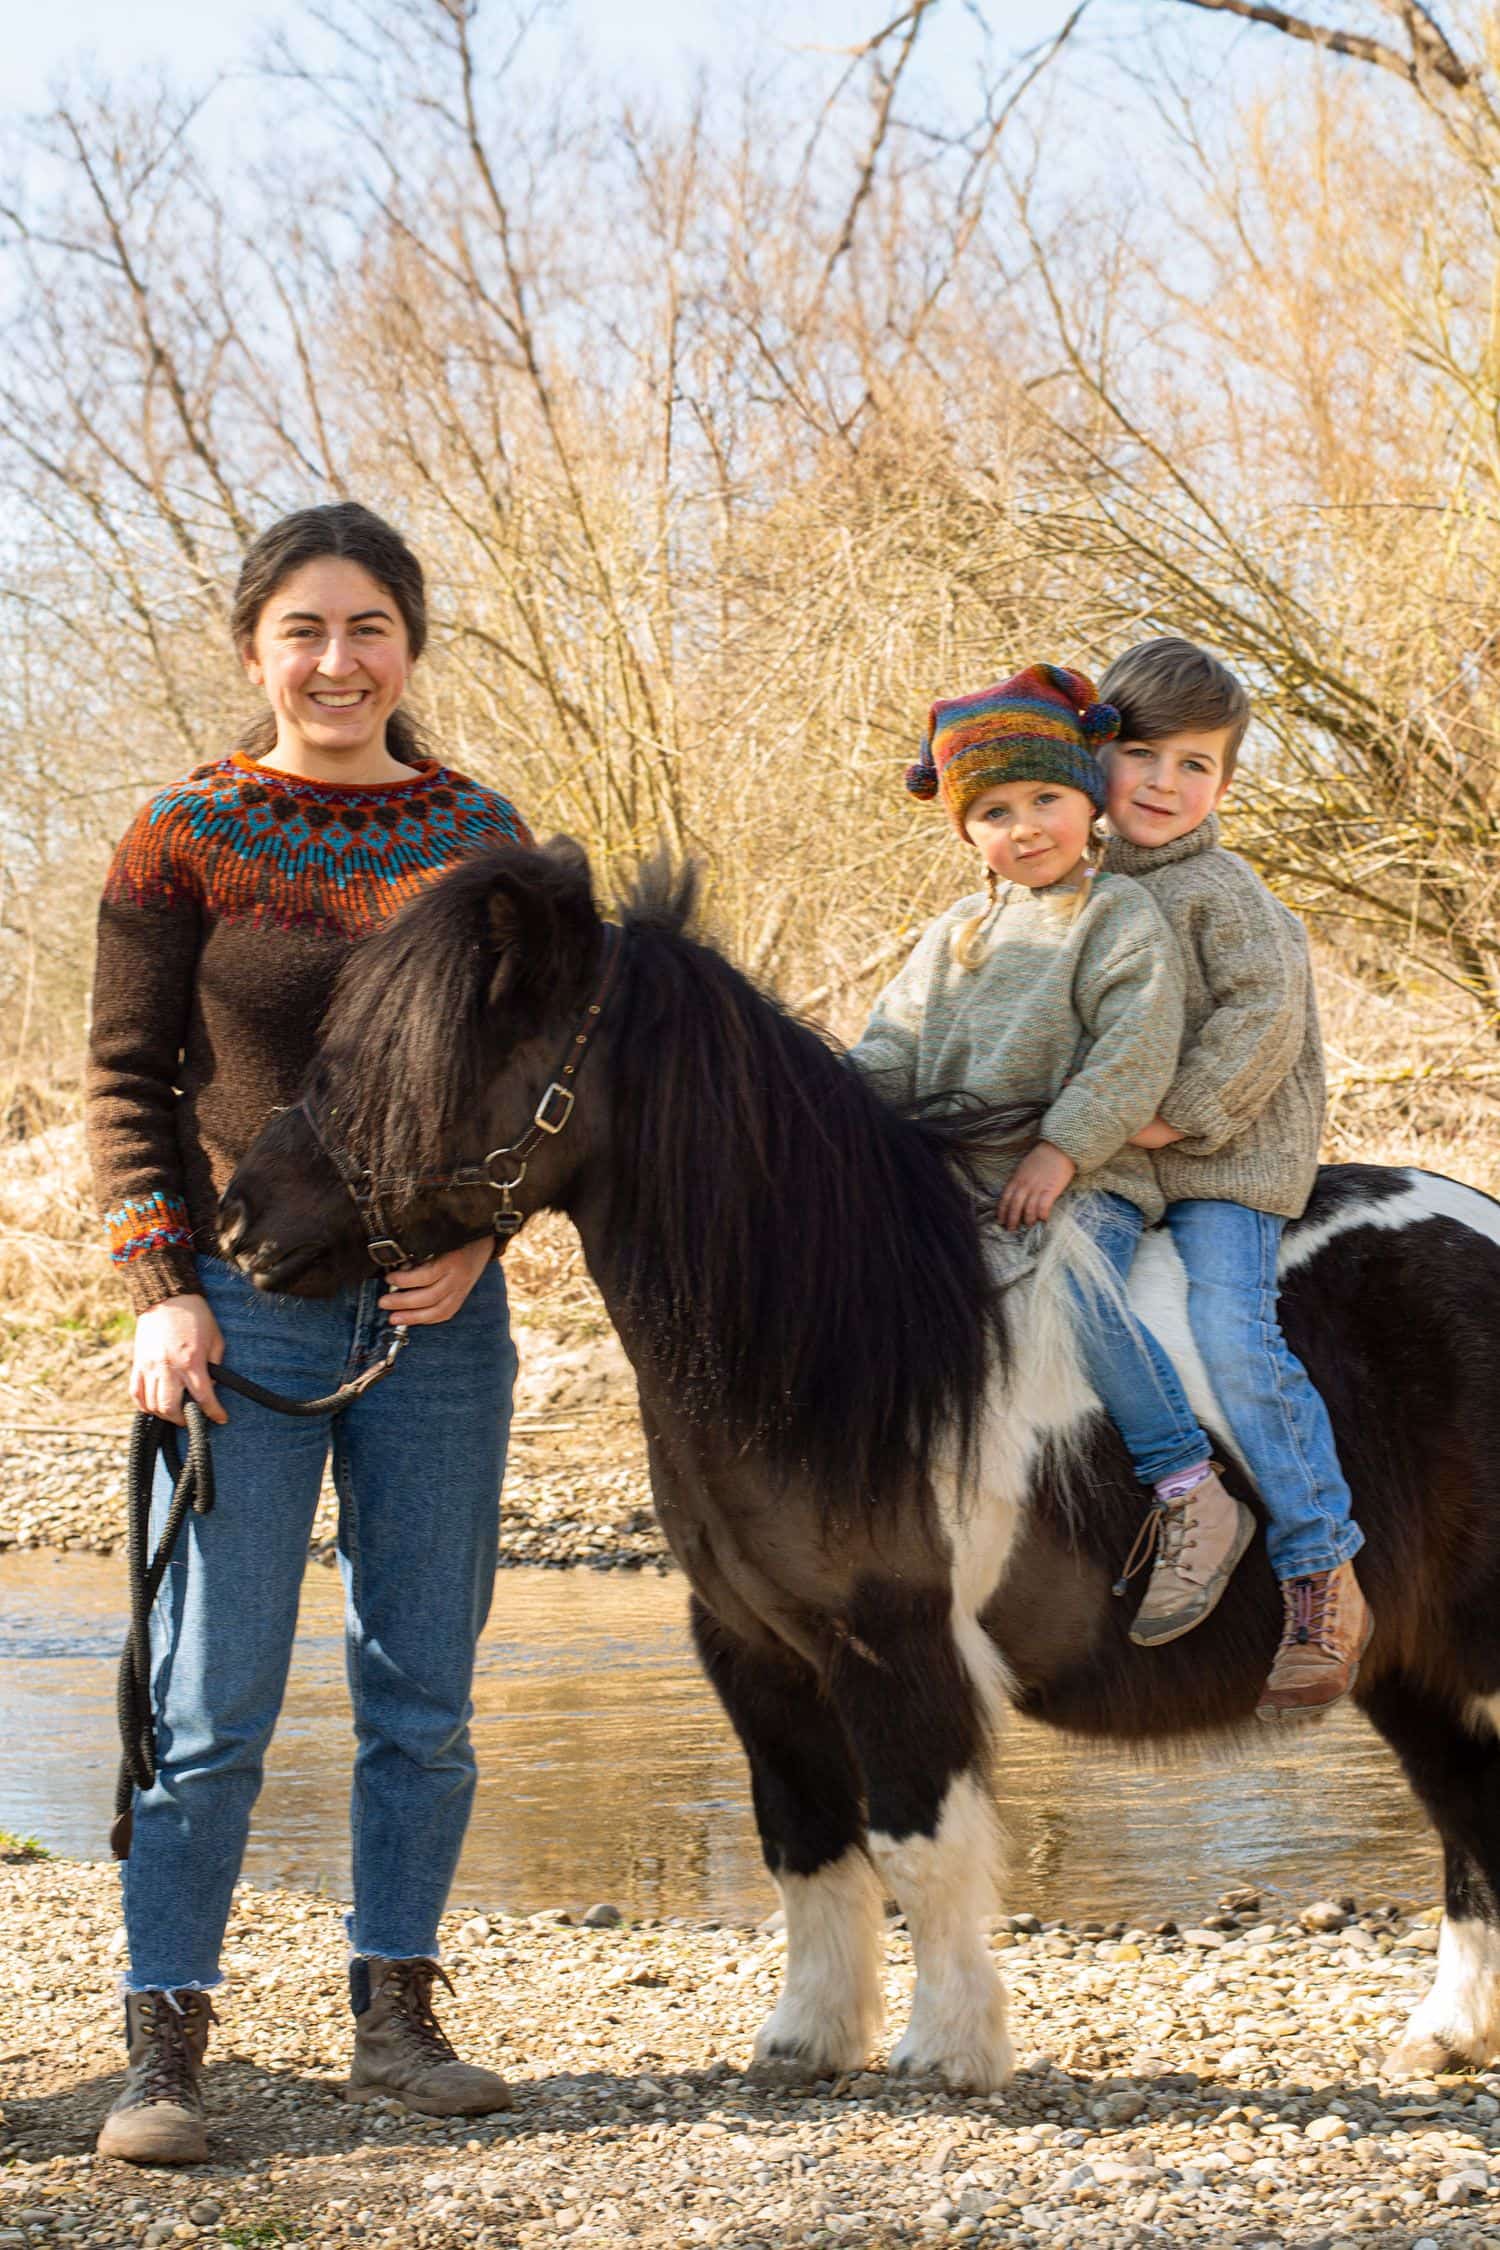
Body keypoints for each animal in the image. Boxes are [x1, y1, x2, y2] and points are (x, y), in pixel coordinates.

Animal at [221, 839, 1500, 2093]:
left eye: (417, 1066)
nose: (239, 1222)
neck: (845, 1344)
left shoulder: (896, 1647)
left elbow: (915, 1846)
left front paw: (950, 2050)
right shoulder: (753, 1649)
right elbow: (804, 1842)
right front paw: (806, 2041)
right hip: (1408, 1663)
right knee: (1467, 1815)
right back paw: (1446, 2038)